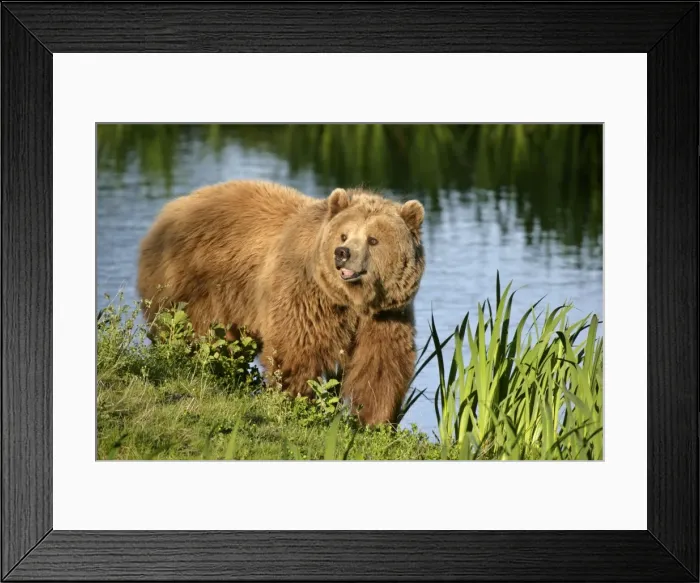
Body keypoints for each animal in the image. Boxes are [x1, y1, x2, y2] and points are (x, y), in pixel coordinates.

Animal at [137, 180, 426, 425]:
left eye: (373, 239)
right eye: (344, 235)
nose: (342, 253)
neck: (352, 301)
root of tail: (171, 209)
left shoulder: (386, 315)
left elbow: (380, 367)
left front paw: (373, 421)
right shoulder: (306, 295)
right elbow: (295, 350)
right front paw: (296, 403)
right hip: (196, 285)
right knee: (196, 335)